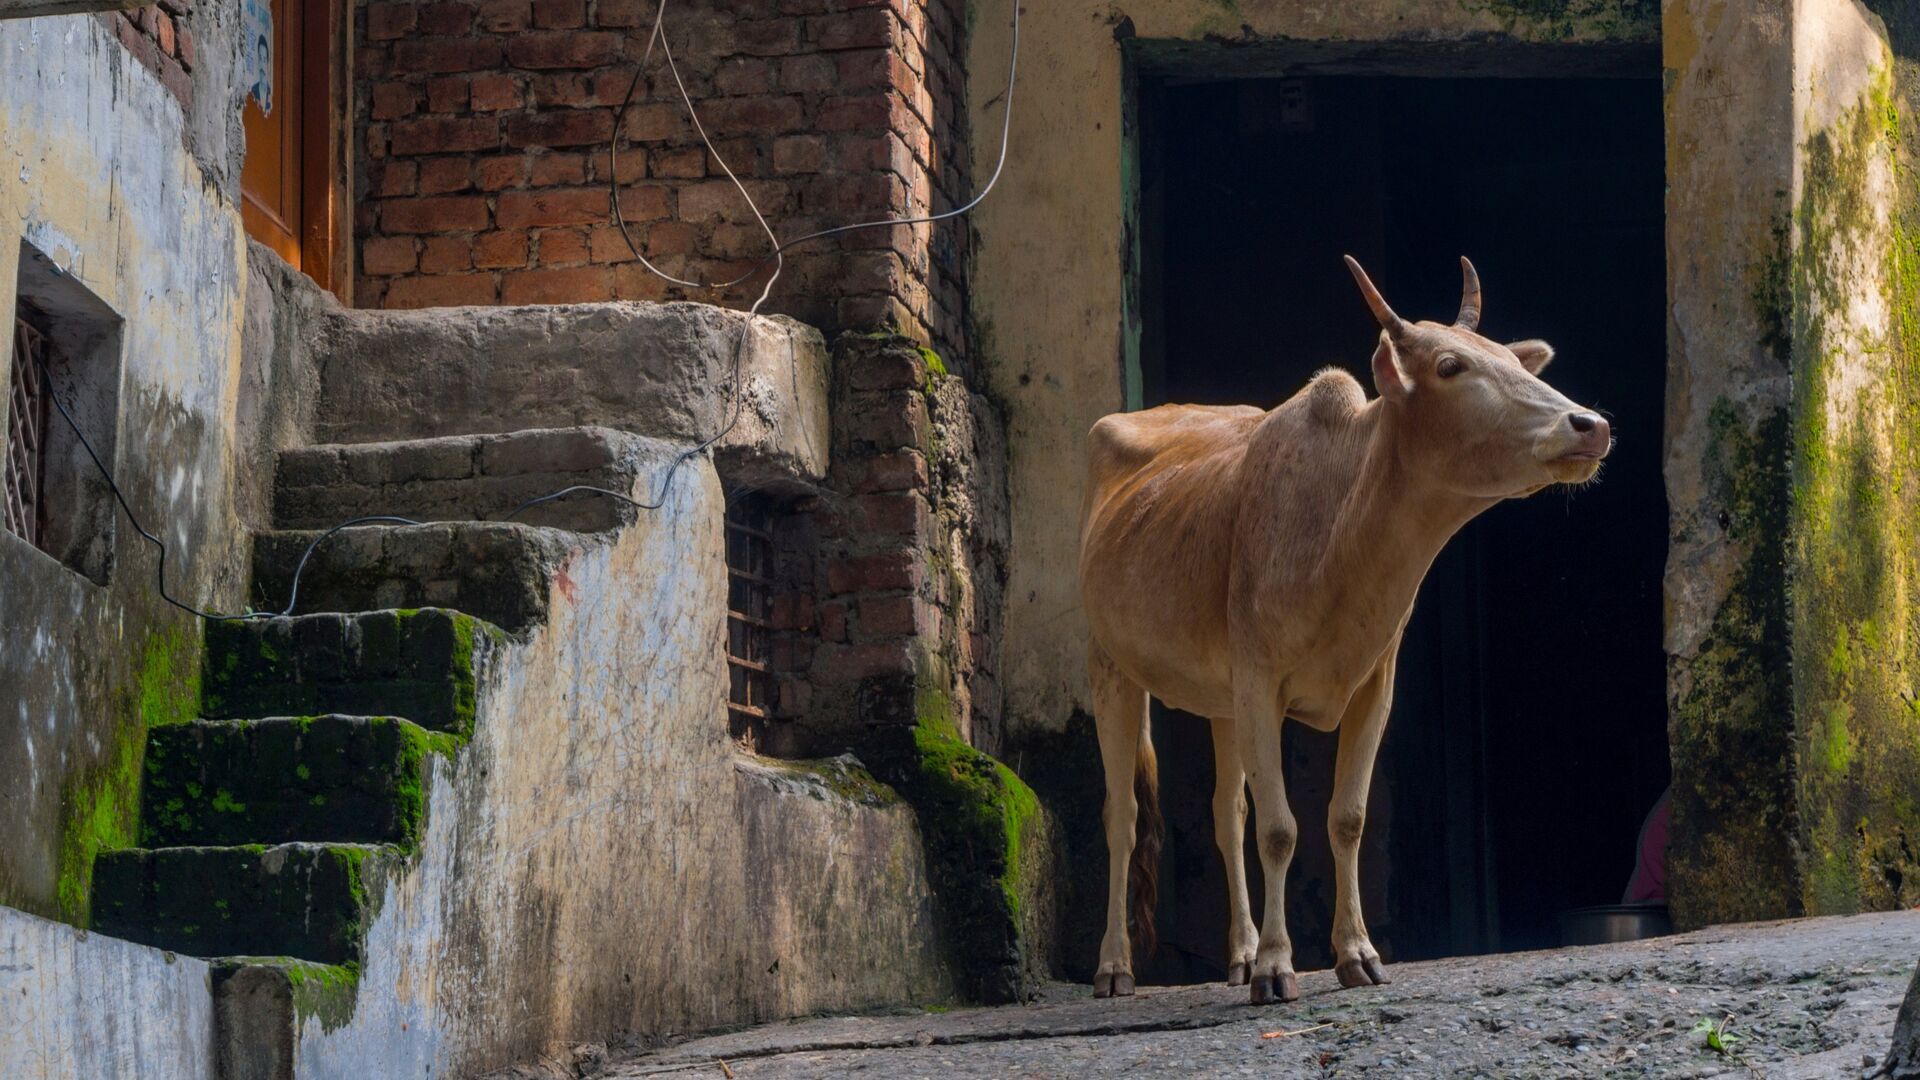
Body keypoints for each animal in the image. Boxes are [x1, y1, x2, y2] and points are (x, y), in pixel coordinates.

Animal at [1082, 253, 1605, 999]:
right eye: (1450, 366)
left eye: (1511, 359)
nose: (1589, 426)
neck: (1341, 531)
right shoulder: (1260, 685)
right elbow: (1279, 829)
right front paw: (1278, 967)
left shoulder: (1369, 687)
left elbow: (1345, 819)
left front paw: (1353, 953)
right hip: (1111, 669)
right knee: (1122, 818)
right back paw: (1116, 966)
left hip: (1219, 702)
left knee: (1225, 813)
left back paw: (1238, 953)